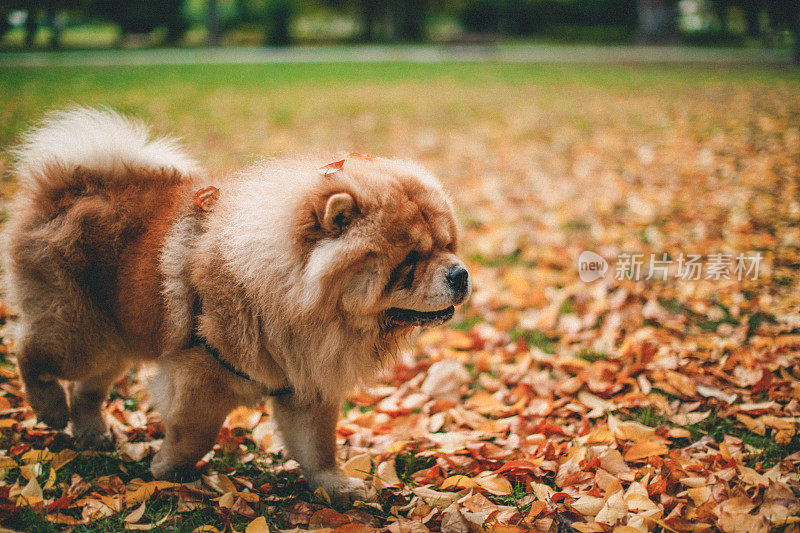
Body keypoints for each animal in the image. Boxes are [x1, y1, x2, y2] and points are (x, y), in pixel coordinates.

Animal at [4, 109, 468, 502]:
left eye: (448, 246)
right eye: (409, 261)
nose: (461, 274)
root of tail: (67, 185)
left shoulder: (304, 383)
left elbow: (318, 446)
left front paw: (336, 487)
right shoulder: (199, 374)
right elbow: (196, 435)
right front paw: (166, 470)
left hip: (116, 338)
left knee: (88, 389)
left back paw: (92, 434)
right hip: (81, 334)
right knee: (29, 351)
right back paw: (49, 409)